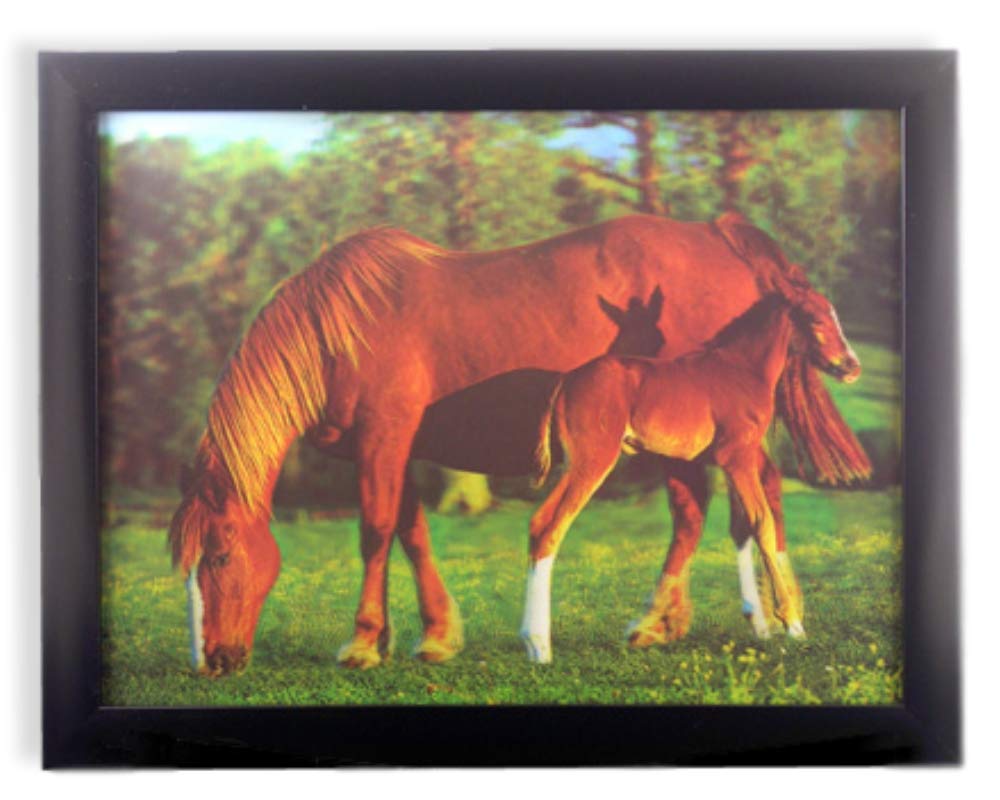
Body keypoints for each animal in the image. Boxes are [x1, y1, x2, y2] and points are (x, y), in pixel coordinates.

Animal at [522, 290, 861, 662]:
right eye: (815, 319)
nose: (851, 365)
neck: (743, 369)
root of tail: (565, 382)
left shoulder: (721, 464)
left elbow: (741, 527)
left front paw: (760, 625)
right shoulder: (737, 456)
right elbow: (763, 523)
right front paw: (792, 624)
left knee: (542, 525)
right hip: (591, 460)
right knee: (549, 525)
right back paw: (538, 645)